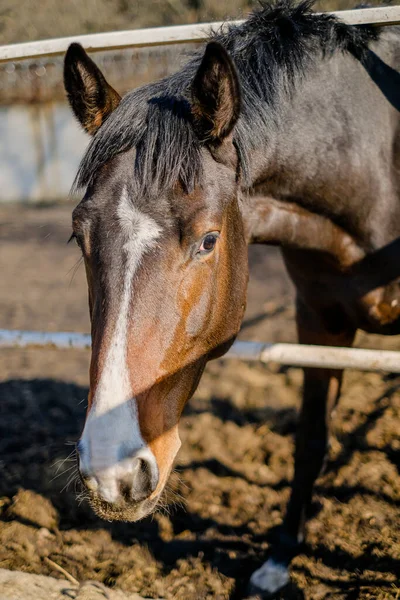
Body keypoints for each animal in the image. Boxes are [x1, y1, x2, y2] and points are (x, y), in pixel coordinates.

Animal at [63, 2, 400, 596]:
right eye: (80, 237)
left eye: (208, 240)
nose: (111, 472)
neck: (375, 173)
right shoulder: (319, 322)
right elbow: (311, 441)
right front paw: (278, 560)